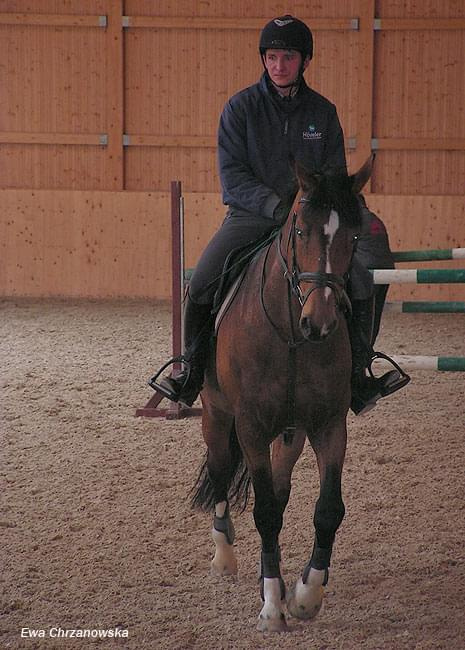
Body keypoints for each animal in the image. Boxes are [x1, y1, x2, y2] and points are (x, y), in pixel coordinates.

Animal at [190, 156, 372, 628]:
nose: (320, 323)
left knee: (279, 483)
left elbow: (327, 510)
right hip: (217, 416)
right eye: (300, 230)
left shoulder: (328, 425)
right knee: (221, 473)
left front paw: (307, 593)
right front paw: (272, 605)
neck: (291, 335)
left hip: (292, 432)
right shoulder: (251, 428)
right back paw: (225, 557)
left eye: (355, 235)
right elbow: (266, 512)